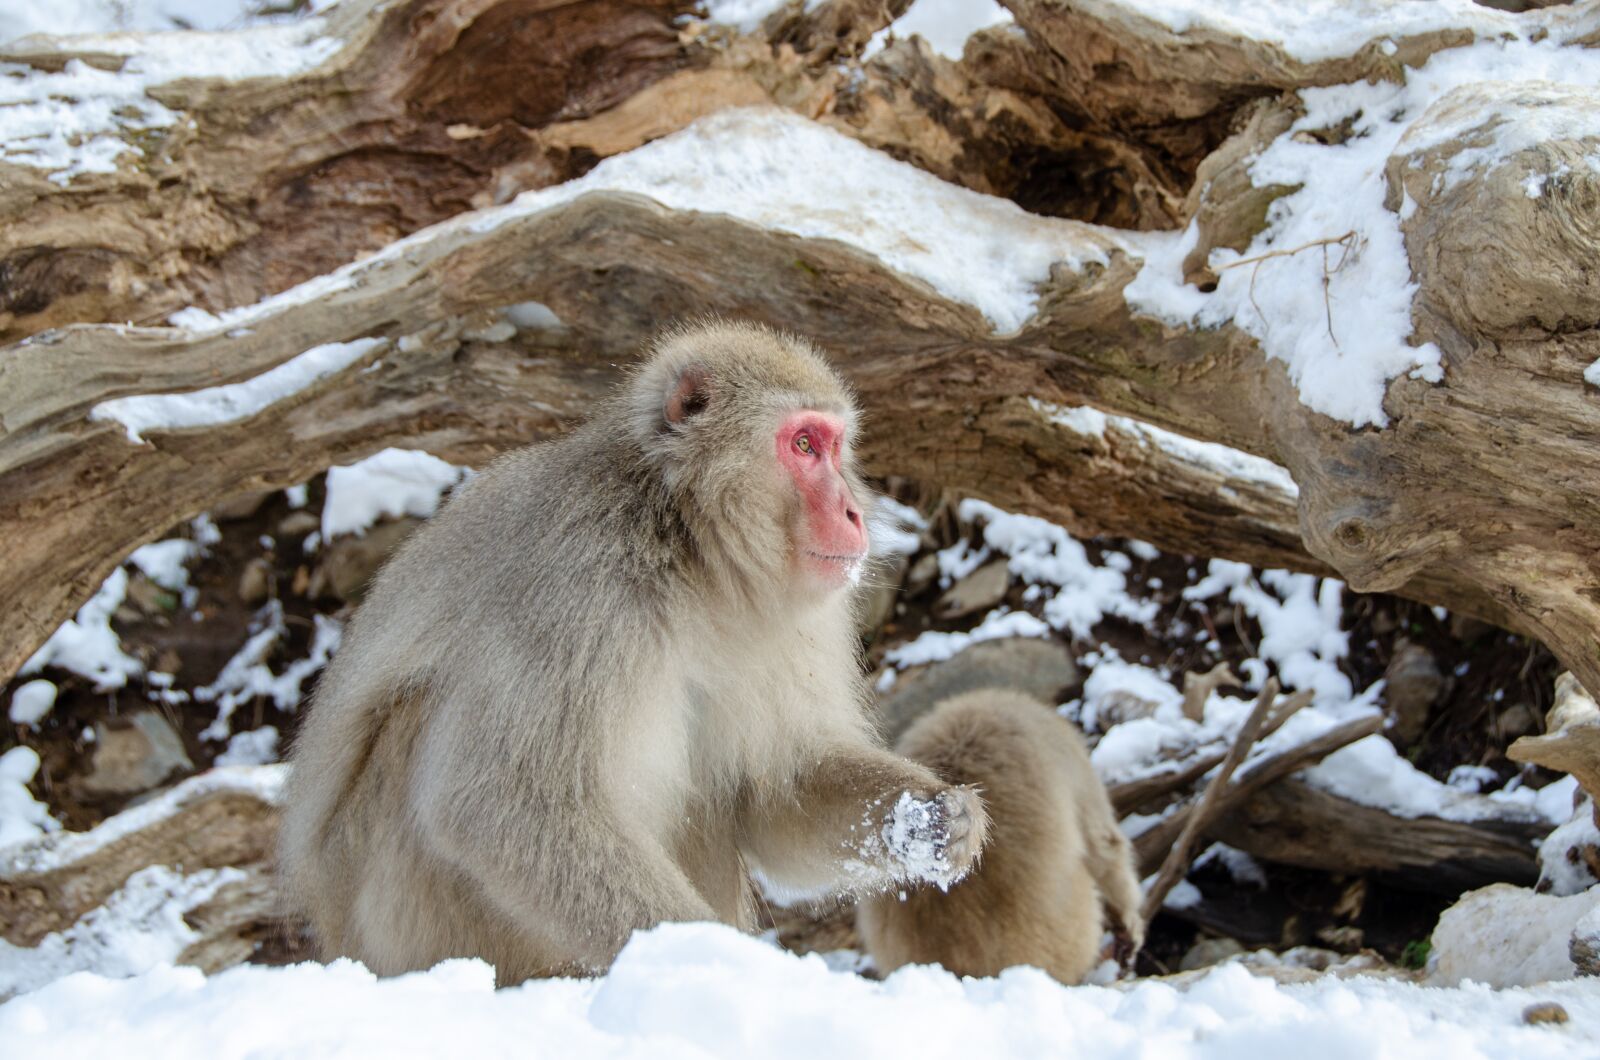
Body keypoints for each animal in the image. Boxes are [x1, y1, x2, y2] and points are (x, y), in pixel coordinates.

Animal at [277, 320, 988, 983]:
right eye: (804, 445)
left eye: (835, 446)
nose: (853, 512)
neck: (685, 548)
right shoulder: (579, 582)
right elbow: (500, 804)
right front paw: (715, 962)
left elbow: (774, 791)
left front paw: (934, 819)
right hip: (397, 925)